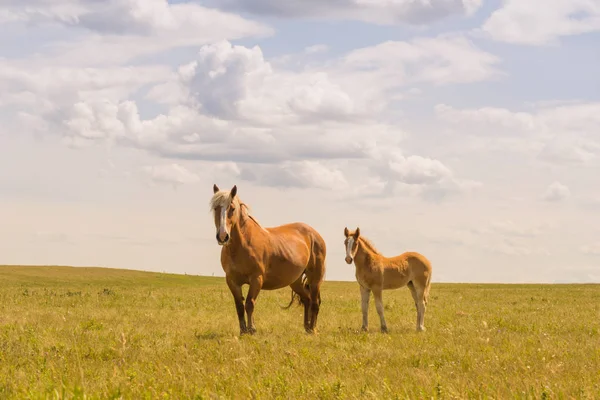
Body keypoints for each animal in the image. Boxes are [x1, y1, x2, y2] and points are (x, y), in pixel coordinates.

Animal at [210, 184, 328, 334]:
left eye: (232, 208)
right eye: (215, 208)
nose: (223, 236)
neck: (242, 244)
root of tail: (315, 234)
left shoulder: (256, 279)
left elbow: (249, 304)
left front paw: (252, 329)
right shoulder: (232, 281)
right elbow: (239, 306)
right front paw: (243, 331)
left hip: (315, 278)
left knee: (314, 302)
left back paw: (312, 329)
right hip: (295, 281)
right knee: (306, 299)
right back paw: (306, 327)